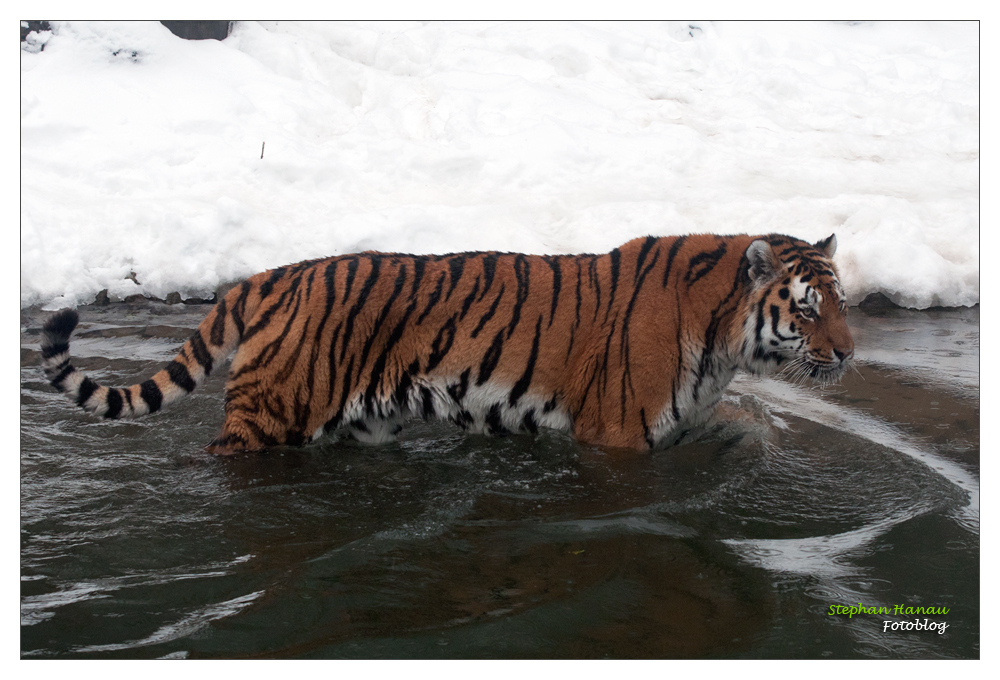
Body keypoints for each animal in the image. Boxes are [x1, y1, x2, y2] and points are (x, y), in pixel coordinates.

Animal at [37, 232, 852, 452]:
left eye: (843, 303)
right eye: (808, 310)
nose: (847, 353)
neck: (722, 340)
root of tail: (267, 276)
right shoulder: (616, 438)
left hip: (358, 423)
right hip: (269, 417)